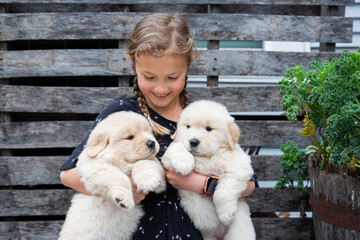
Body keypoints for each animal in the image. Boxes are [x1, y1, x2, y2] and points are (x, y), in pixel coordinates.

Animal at [58, 111, 167, 239]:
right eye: (130, 137)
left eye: (148, 131)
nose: (152, 143)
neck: (123, 160)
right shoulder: (95, 168)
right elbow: (120, 177)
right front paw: (123, 199)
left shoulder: (160, 179)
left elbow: (146, 162)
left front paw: (148, 179)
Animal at [162, 100, 255, 240]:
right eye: (188, 126)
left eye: (209, 129)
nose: (193, 142)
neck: (206, 157)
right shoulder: (167, 160)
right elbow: (176, 146)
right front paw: (184, 163)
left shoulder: (240, 168)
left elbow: (222, 193)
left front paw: (226, 214)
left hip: (239, 233)